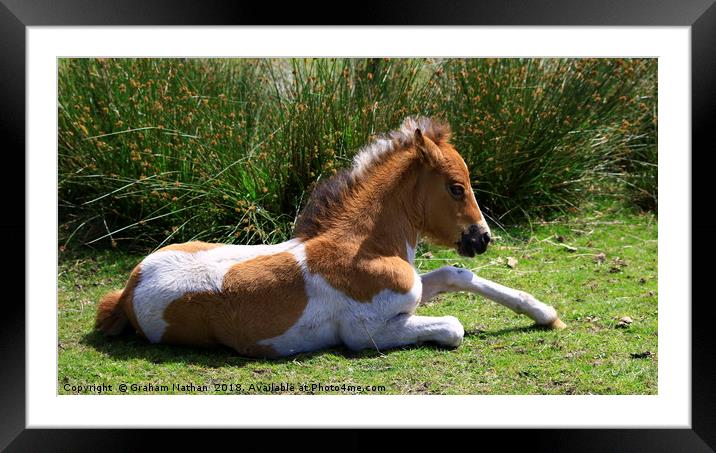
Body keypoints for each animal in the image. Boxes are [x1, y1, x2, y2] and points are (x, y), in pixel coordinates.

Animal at [96, 116, 564, 356]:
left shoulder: (412, 288)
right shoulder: (364, 332)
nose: (481, 238)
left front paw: (545, 313)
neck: (366, 246)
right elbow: (453, 326)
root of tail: (127, 290)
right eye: (455, 187)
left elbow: (455, 274)